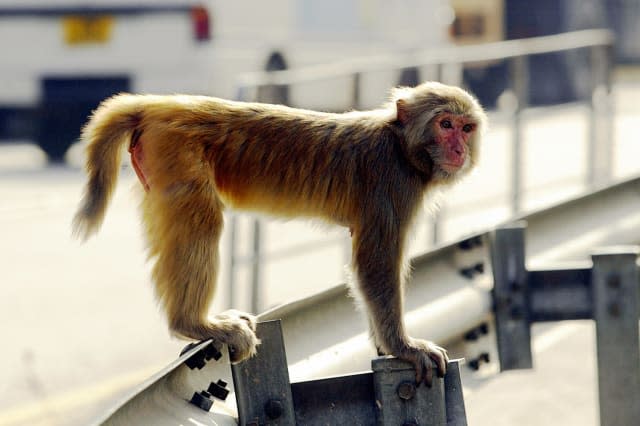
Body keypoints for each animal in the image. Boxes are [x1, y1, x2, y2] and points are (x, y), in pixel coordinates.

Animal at [72, 80, 488, 386]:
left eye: (466, 128)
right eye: (445, 124)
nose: (459, 149)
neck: (402, 146)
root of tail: (160, 105)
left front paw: (384, 346)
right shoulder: (392, 182)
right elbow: (375, 265)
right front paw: (402, 347)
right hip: (178, 151)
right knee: (202, 219)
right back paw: (193, 323)